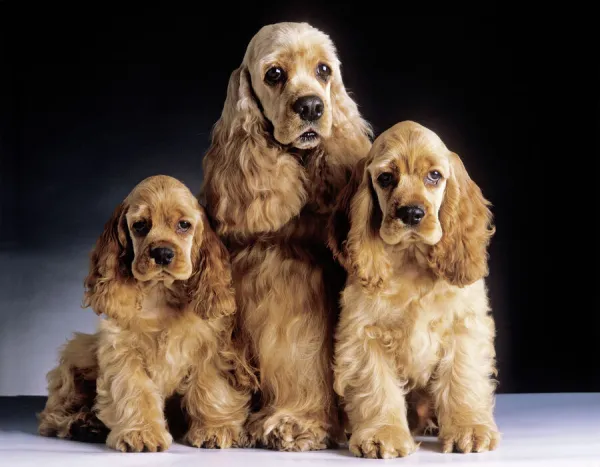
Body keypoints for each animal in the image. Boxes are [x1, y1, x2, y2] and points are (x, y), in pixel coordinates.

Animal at [37, 176, 250, 454]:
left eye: (183, 225)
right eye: (139, 225)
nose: (162, 253)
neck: (161, 293)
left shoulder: (210, 348)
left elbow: (210, 388)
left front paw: (214, 429)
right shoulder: (122, 349)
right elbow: (135, 390)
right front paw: (140, 434)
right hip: (77, 352)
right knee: (53, 413)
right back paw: (82, 423)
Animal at [199, 22, 372, 454]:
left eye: (324, 70)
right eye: (274, 73)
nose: (311, 107)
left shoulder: (295, 291)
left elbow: (300, 361)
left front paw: (298, 424)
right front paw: (219, 425)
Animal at [328, 121, 502, 460]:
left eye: (434, 175)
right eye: (385, 178)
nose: (411, 213)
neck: (411, 260)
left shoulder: (464, 325)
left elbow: (462, 377)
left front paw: (469, 430)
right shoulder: (364, 333)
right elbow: (376, 386)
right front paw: (383, 435)